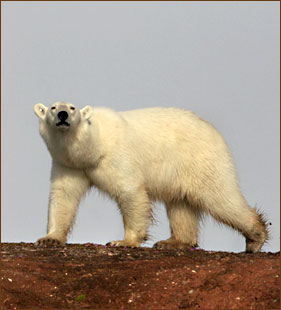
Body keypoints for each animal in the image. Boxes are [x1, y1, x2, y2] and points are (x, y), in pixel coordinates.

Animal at [34, 101, 268, 252]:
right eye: (53, 107)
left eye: (72, 108)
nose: (62, 115)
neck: (93, 146)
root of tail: (213, 130)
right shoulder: (69, 165)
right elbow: (63, 197)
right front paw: (49, 238)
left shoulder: (117, 157)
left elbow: (130, 192)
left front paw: (123, 242)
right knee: (180, 204)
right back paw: (173, 241)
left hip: (200, 159)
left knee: (220, 198)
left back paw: (255, 237)